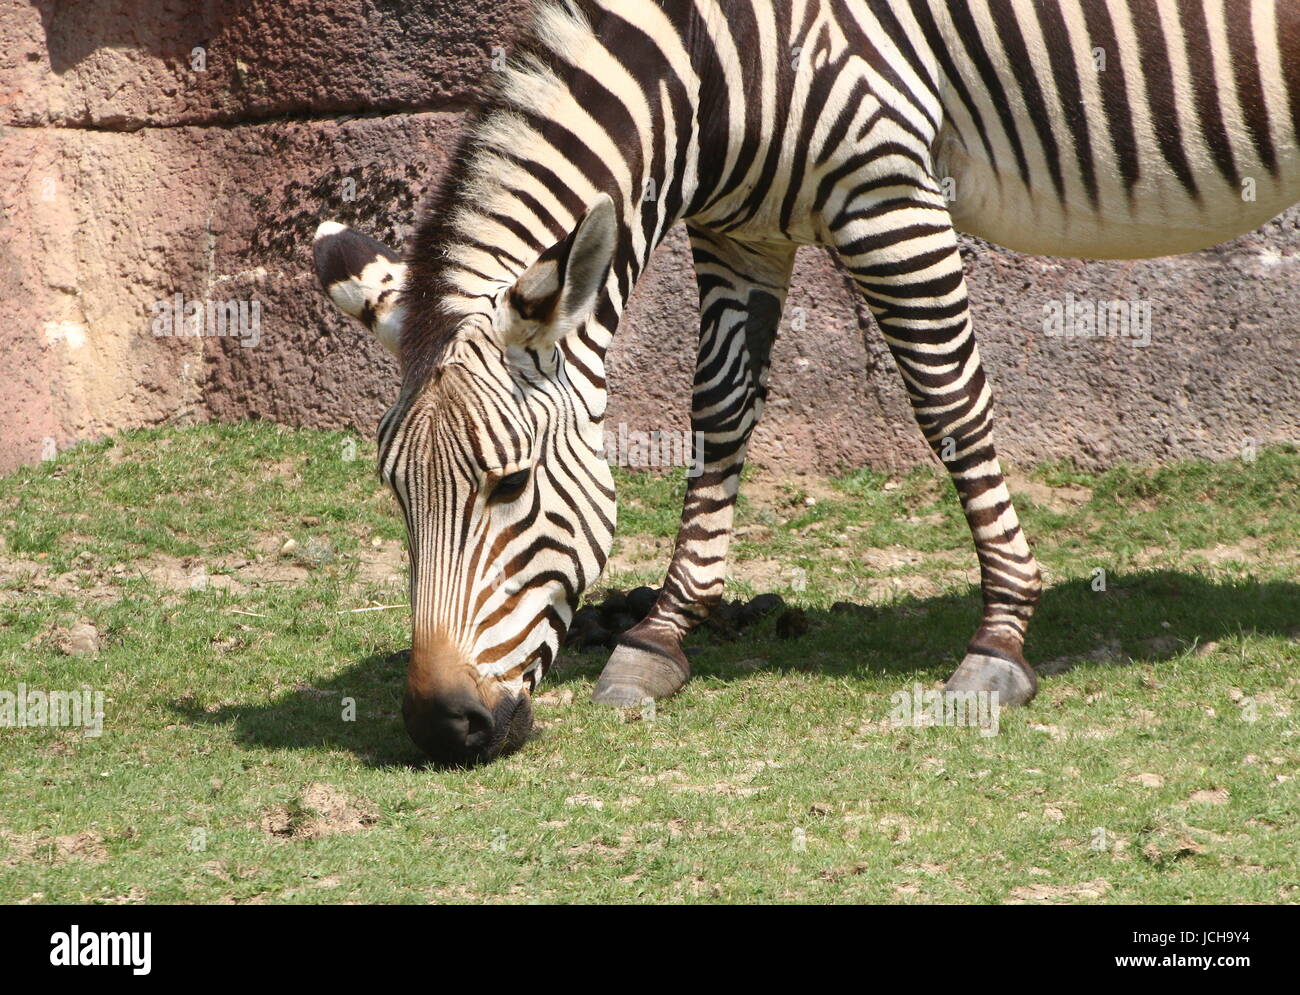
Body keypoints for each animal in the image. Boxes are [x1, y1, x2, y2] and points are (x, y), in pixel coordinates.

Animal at [314, 0, 1300, 764]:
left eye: (509, 484)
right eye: (395, 492)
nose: (441, 727)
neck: (716, 65)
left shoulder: (890, 198)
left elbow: (949, 402)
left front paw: (1001, 639)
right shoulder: (739, 230)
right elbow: (719, 412)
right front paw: (660, 636)